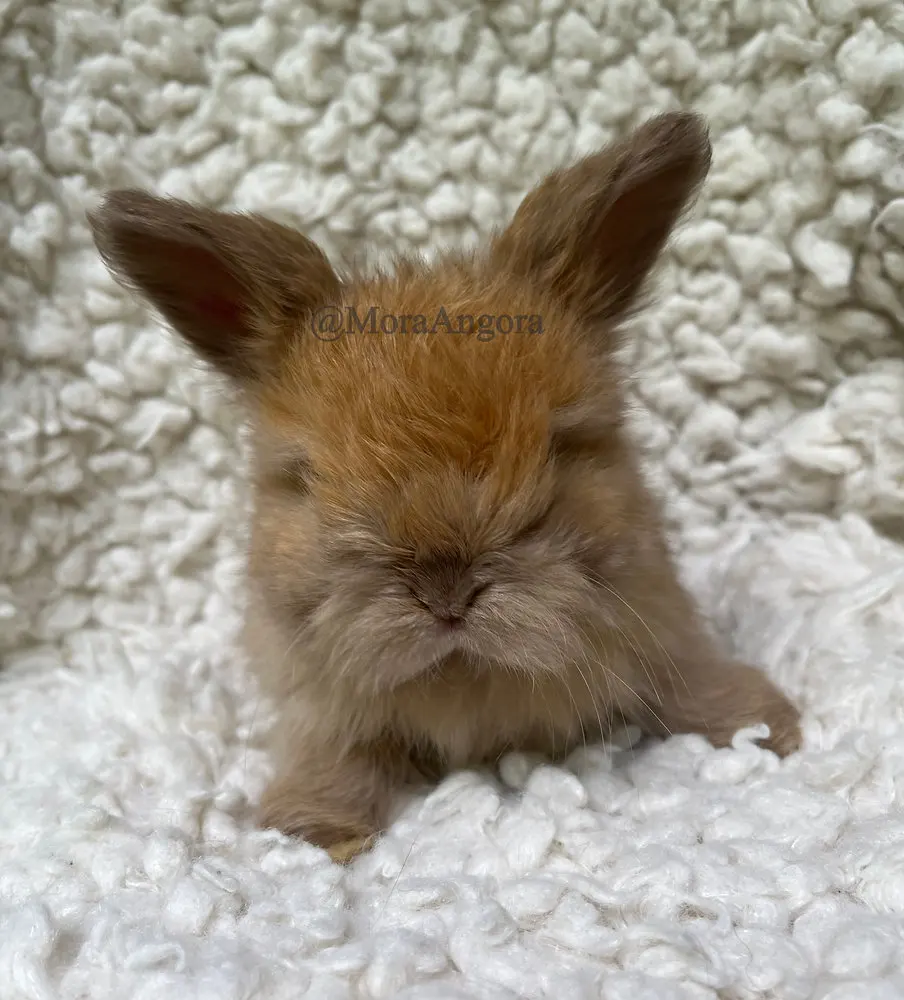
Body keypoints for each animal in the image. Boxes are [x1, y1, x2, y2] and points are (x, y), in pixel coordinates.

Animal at [89, 111, 801, 864]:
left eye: (564, 444)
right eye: (305, 476)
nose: (447, 592)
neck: (466, 678)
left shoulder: (660, 626)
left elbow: (687, 686)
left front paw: (763, 730)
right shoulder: (321, 708)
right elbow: (333, 758)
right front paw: (312, 833)